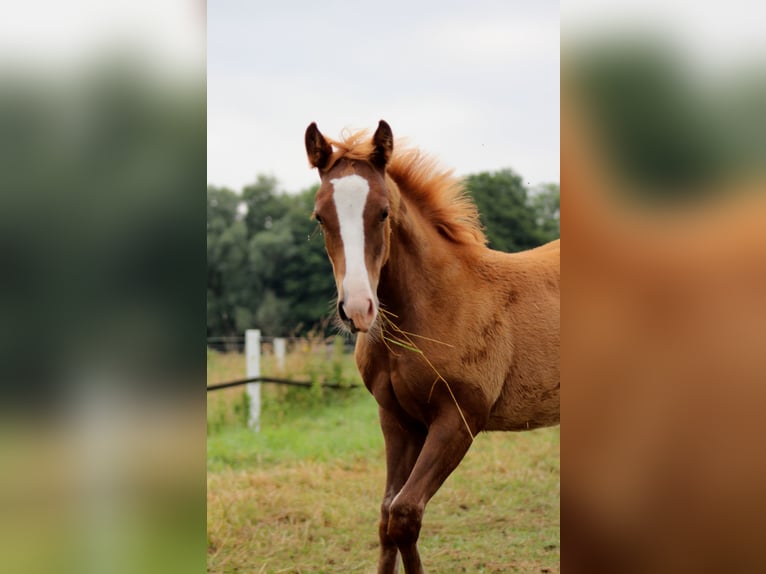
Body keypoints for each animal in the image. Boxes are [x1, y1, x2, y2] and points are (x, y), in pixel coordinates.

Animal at [305, 120, 560, 574]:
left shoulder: (459, 419)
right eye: (321, 216)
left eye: (383, 212)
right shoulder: (396, 418)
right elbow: (386, 516)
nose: (358, 308)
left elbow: (405, 514)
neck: (434, 305)